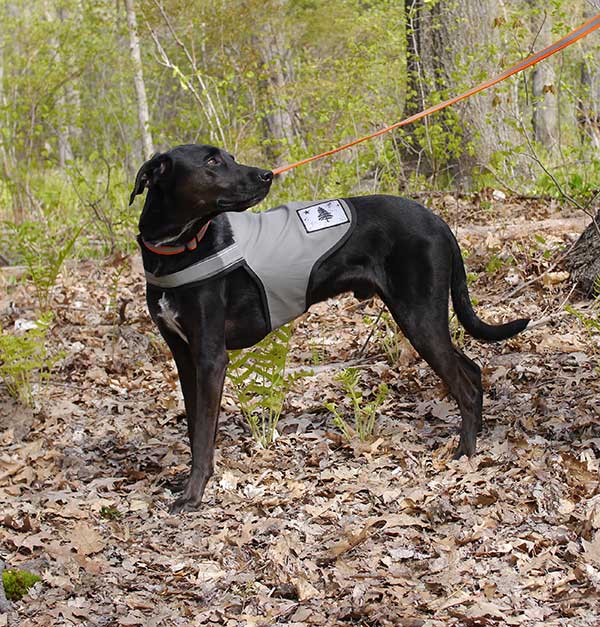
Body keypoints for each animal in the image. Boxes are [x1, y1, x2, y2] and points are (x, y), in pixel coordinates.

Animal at [129, 145, 528, 512]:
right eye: (213, 161)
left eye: (227, 157)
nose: (266, 175)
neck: (175, 250)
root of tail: (437, 220)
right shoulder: (185, 357)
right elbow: (196, 427)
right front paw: (188, 482)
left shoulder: (211, 357)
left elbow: (202, 436)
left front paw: (193, 495)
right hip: (424, 319)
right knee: (472, 371)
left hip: (419, 318)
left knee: (464, 384)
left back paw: (464, 454)